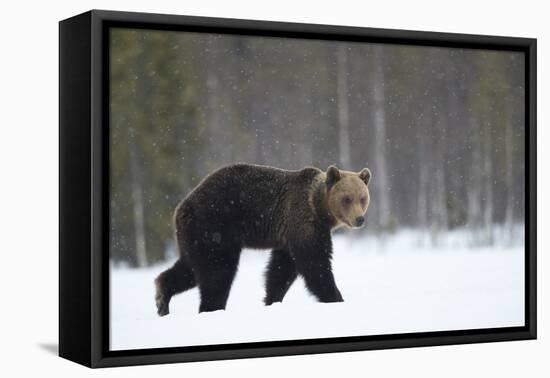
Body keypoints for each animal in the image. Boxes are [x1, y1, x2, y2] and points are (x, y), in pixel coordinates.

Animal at [153, 162, 374, 314]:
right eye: (347, 198)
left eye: (363, 198)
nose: (359, 219)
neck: (318, 208)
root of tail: (181, 208)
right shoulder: (303, 221)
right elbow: (315, 263)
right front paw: (335, 297)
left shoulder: (287, 235)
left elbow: (281, 270)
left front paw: (271, 299)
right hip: (213, 226)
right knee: (218, 271)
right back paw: (211, 307)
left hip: (195, 236)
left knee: (191, 268)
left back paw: (162, 297)